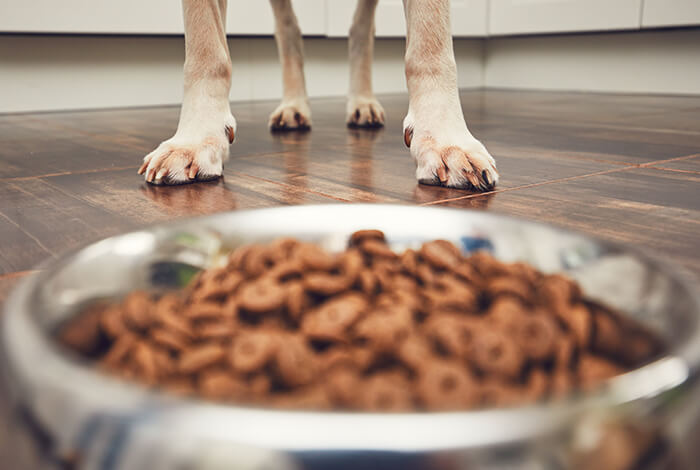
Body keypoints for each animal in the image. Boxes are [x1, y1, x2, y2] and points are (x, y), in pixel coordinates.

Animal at [137, 0, 498, 191]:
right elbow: (206, 51)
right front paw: (195, 140)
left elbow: (430, 45)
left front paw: (446, 141)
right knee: (287, 27)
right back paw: (294, 106)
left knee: (361, 25)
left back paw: (362, 102)